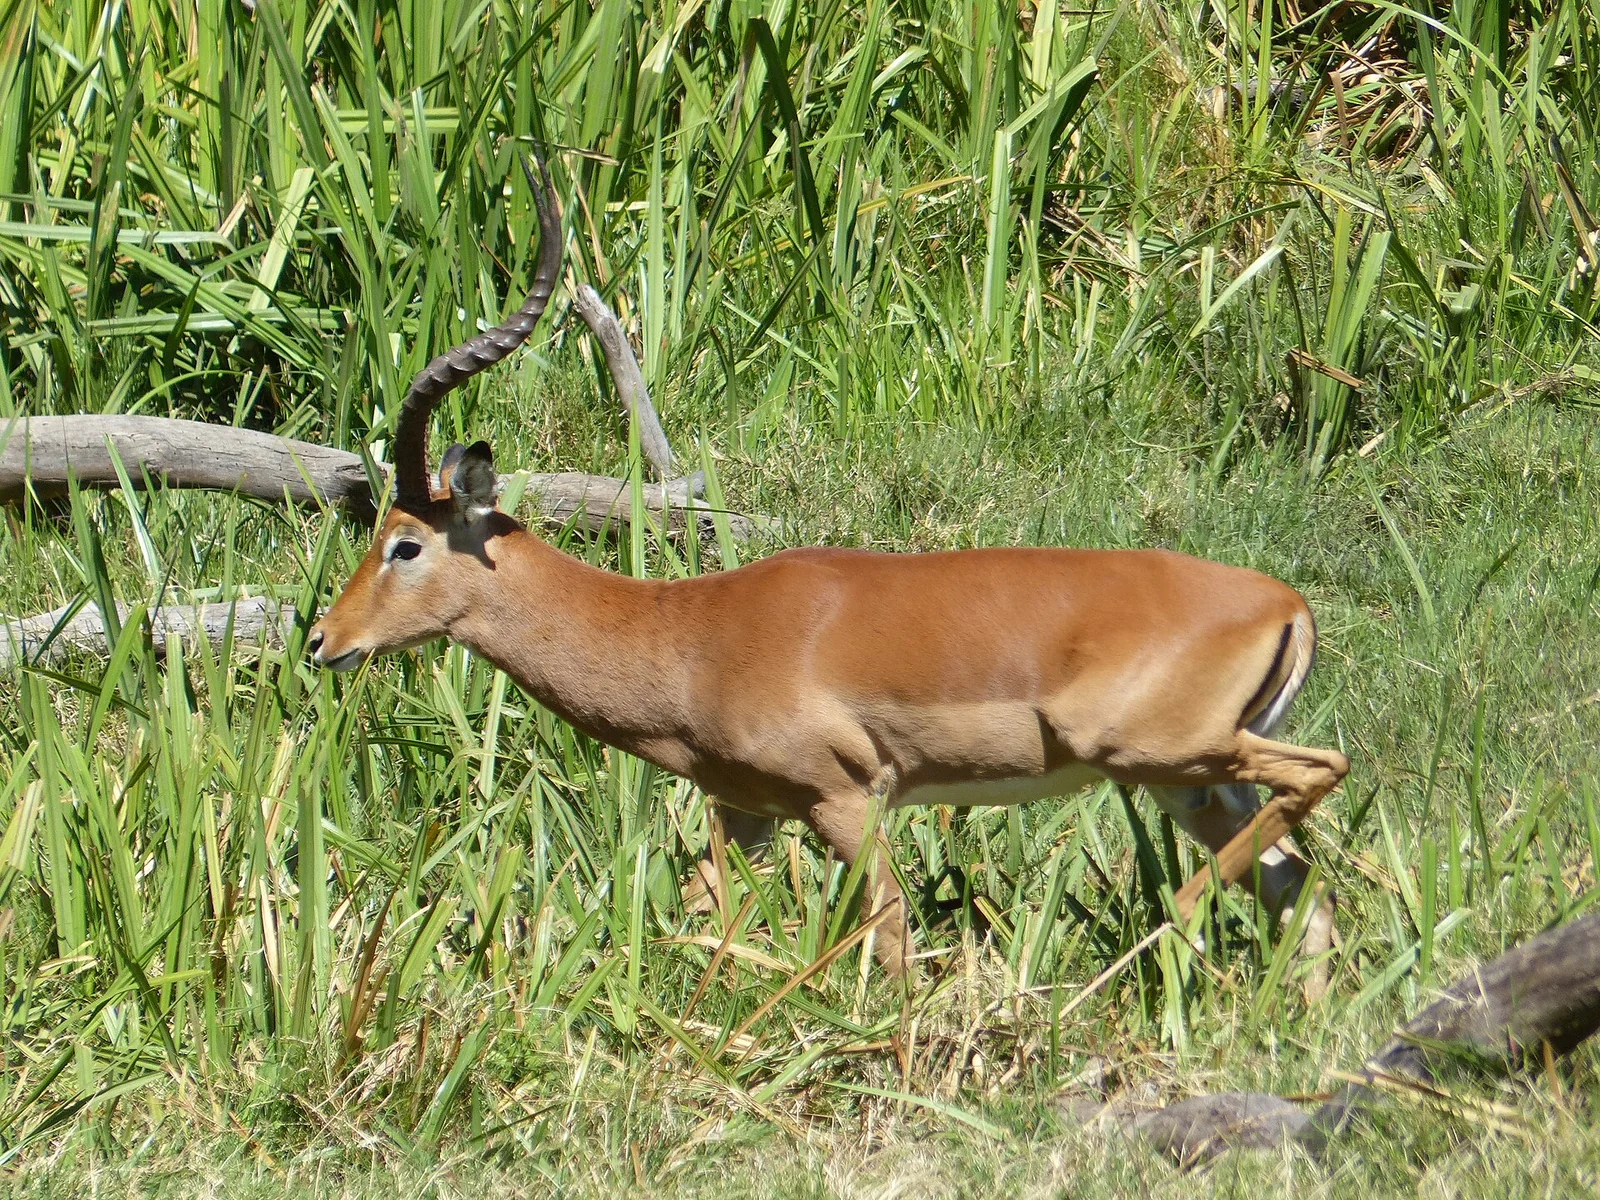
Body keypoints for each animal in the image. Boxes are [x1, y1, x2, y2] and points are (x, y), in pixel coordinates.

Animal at [308, 157, 1349, 980]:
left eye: (405, 542)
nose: (322, 639)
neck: (688, 632)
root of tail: (1285, 604)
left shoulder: (845, 799)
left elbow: (887, 935)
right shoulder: (747, 809)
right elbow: (701, 909)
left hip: (1164, 754)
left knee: (1322, 775)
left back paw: (1165, 929)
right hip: (1192, 784)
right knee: (1303, 896)